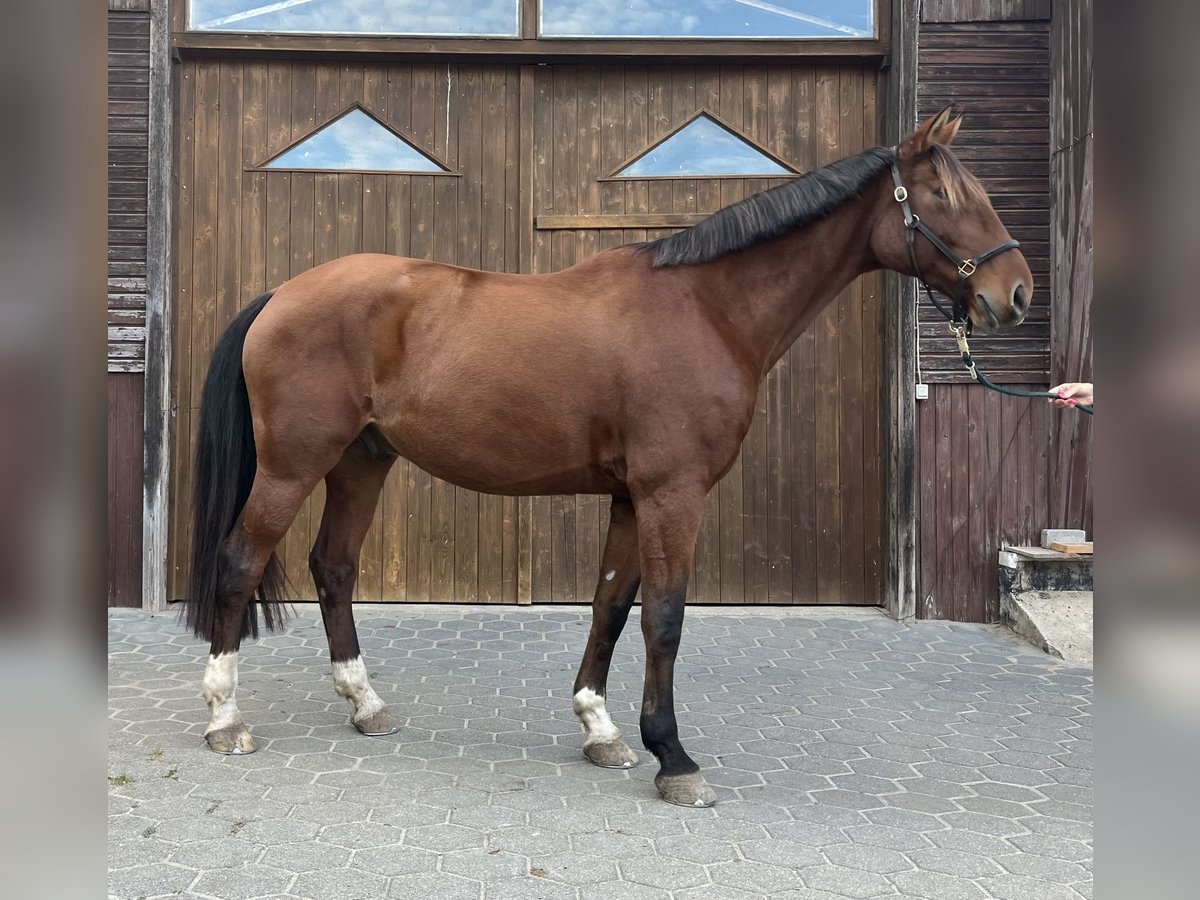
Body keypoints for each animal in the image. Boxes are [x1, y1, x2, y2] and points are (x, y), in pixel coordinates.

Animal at [187, 109, 1032, 806]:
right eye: (944, 196)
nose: (1016, 293)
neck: (707, 310)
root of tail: (280, 295)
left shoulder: (632, 497)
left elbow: (612, 606)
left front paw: (601, 729)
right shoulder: (673, 495)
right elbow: (665, 617)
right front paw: (675, 759)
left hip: (362, 461)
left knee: (333, 566)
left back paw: (367, 705)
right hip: (294, 466)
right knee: (238, 561)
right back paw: (225, 719)